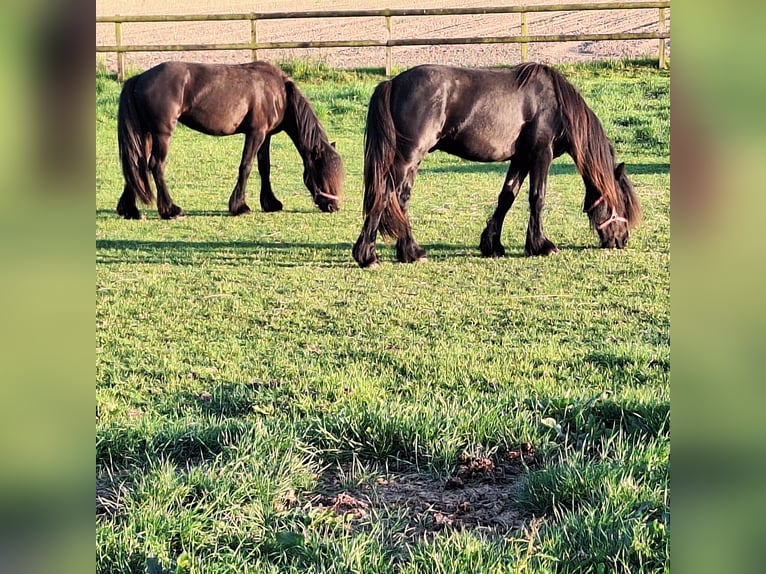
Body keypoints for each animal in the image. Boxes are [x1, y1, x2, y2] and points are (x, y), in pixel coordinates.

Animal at [115, 61, 343, 219]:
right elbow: (246, 167)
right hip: (161, 135)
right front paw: (240, 206)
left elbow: (264, 168)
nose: (334, 206)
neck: (280, 93)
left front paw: (270, 203)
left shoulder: (266, 136)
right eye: (323, 174)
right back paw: (171, 210)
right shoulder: (255, 133)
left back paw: (130, 210)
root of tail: (139, 78)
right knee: (155, 165)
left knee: (137, 165)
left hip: (146, 134)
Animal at [352, 62, 641, 268]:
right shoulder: (541, 154)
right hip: (408, 158)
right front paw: (541, 245)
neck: (556, 104)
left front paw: (492, 245)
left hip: (412, 162)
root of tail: (392, 83)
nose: (623, 239)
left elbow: (507, 197)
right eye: (622, 202)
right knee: (384, 196)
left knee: (401, 200)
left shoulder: (521, 158)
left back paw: (410, 252)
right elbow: (537, 198)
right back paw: (367, 256)